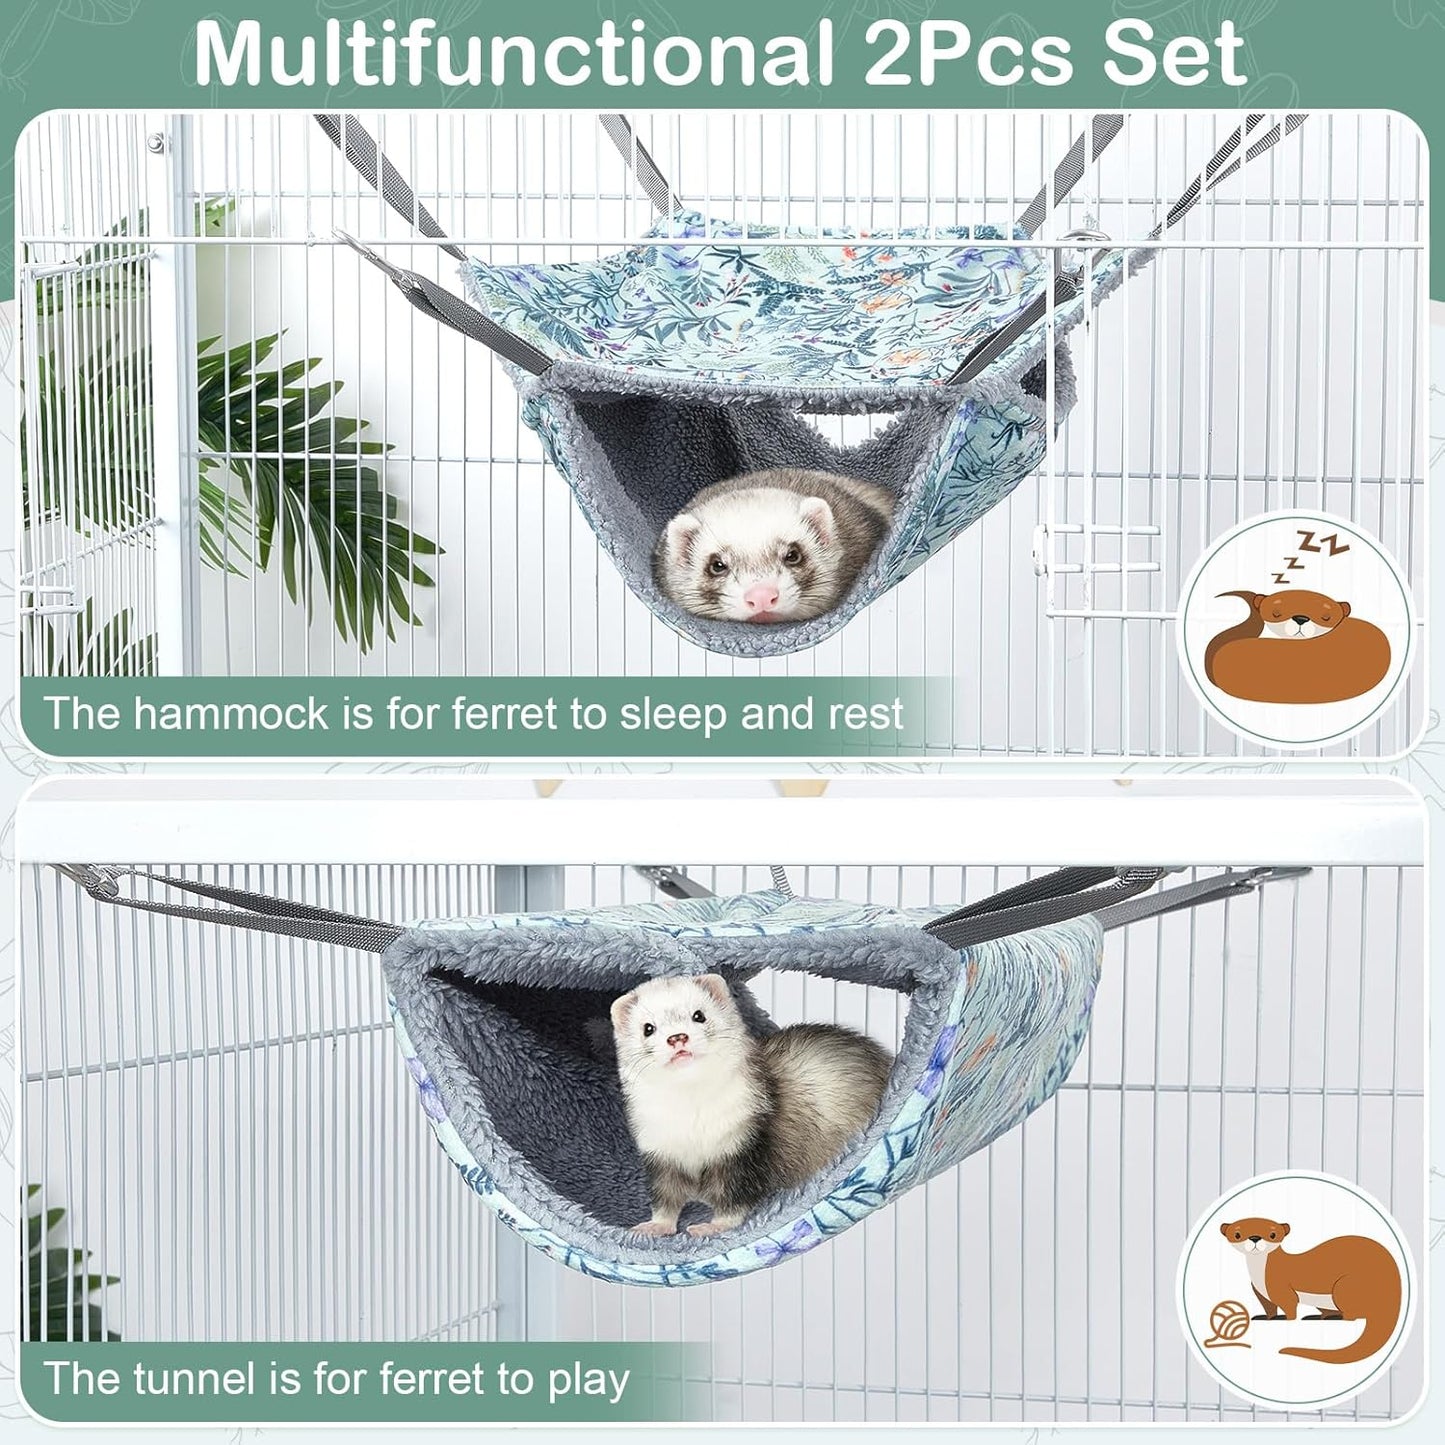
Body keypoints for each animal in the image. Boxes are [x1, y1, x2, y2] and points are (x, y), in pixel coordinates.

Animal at [610, 974, 893, 1238]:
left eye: (699, 1015)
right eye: (648, 1028)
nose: (677, 1037)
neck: (693, 1120)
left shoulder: (743, 1146)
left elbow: (735, 1197)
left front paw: (714, 1226)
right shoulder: (660, 1154)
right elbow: (665, 1197)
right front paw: (655, 1226)